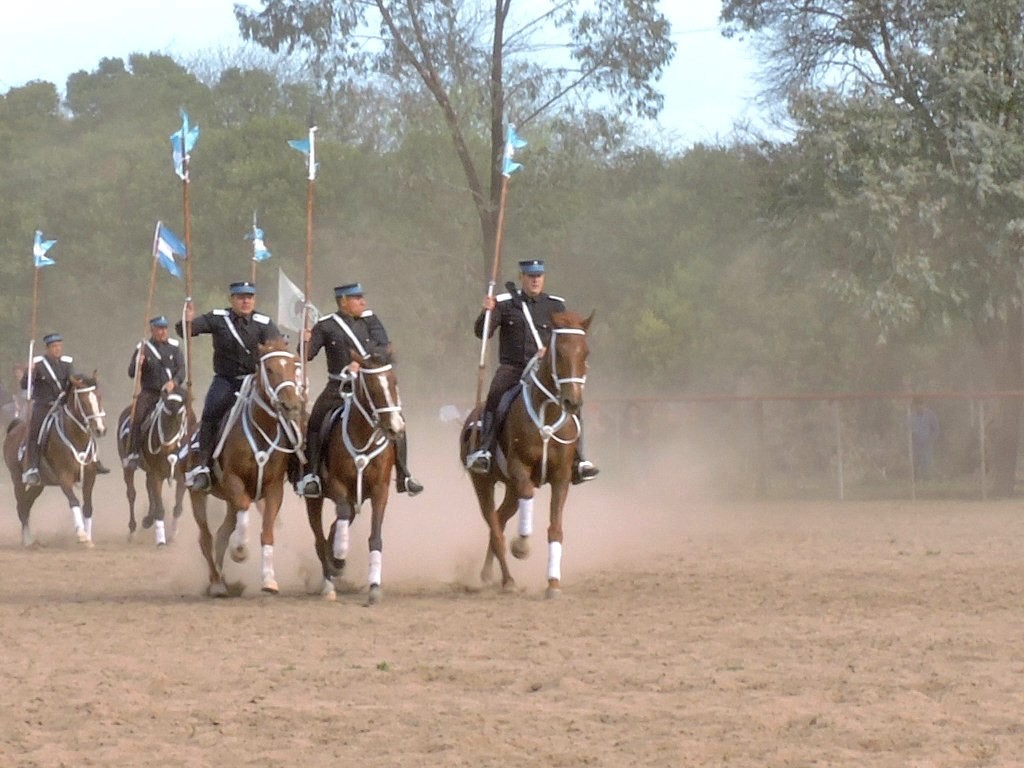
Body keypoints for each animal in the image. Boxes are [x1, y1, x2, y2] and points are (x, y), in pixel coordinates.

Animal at [3, 374, 108, 548]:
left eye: (99, 397)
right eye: (84, 401)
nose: (100, 430)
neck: (76, 438)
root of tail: (15, 428)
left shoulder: (90, 477)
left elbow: (88, 507)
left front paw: (89, 538)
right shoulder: (64, 478)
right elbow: (74, 501)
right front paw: (81, 534)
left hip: (39, 484)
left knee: (27, 504)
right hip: (17, 479)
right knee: (22, 507)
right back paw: (27, 540)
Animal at [115, 385, 189, 548]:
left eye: (180, 420)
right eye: (163, 419)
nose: (168, 450)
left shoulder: (181, 477)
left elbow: (178, 507)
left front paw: (173, 535)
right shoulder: (157, 474)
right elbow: (160, 508)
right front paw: (161, 540)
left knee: (149, 490)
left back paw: (148, 519)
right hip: (128, 467)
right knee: (132, 494)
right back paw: (133, 530)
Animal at [187, 339, 301, 598]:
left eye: (292, 366)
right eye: (269, 369)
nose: (290, 405)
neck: (262, 430)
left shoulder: (273, 488)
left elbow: (267, 531)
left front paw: (269, 579)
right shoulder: (233, 480)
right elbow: (244, 507)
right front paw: (240, 550)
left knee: (221, 534)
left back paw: (222, 580)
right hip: (197, 495)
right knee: (206, 537)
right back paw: (216, 583)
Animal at [303, 350, 403, 606]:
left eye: (394, 382)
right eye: (374, 388)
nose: (396, 428)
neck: (362, 436)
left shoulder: (380, 491)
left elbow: (375, 537)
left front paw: (374, 587)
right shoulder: (339, 486)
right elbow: (340, 516)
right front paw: (339, 558)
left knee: (331, 530)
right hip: (314, 500)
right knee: (320, 539)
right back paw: (329, 581)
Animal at [458, 309, 593, 598]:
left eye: (585, 352)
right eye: (559, 352)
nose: (573, 402)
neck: (546, 416)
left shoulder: (561, 478)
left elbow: (555, 529)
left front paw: (553, 583)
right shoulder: (520, 470)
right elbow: (529, 497)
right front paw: (521, 546)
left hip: (510, 489)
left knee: (499, 520)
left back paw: (489, 574)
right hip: (483, 483)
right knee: (494, 526)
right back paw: (507, 580)